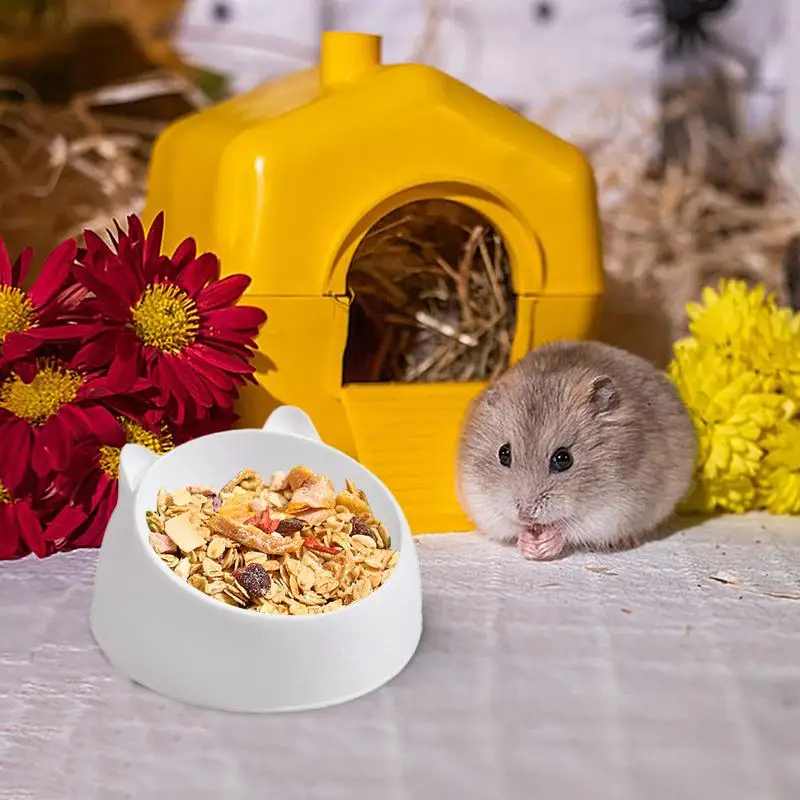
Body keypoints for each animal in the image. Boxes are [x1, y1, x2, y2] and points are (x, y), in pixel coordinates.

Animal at [456, 340, 697, 561]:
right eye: (503, 454)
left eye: (563, 459)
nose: (526, 514)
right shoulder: (482, 501)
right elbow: (511, 525)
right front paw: (528, 545)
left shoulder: (611, 511)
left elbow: (569, 528)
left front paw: (543, 545)